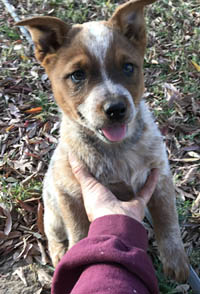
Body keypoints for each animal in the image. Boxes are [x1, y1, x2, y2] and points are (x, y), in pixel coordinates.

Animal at [17, 0, 189, 282]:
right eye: (77, 75)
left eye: (128, 67)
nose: (116, 108)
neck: (117, 150)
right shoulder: (70, 194)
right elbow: (79, 232)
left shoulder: (160, 178)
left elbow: (168, 221)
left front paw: (177, 263)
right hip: (52, 212)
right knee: (54, 236)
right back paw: (59, 255)